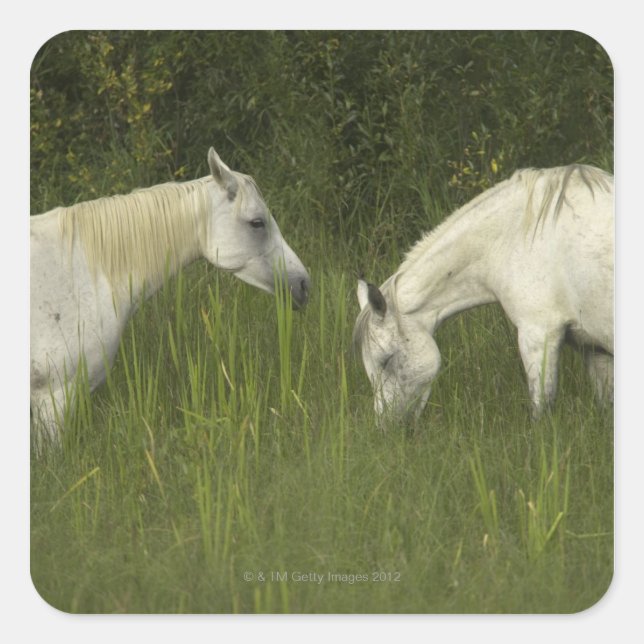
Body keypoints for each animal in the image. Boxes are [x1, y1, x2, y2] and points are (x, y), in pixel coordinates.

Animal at [354, 164, 613, 421]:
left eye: (386, 360)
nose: (387, 426)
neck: (517, 236)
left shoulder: (539, 336)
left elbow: (541, 410)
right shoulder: (595, 350)